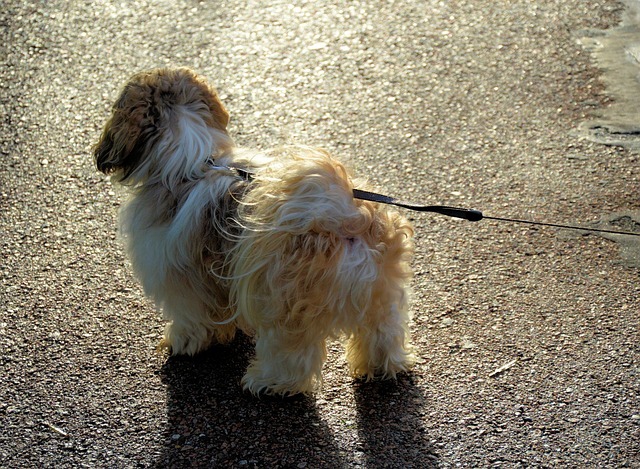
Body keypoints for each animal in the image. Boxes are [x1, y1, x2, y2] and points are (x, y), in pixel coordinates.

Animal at [94, 66, 416, 394]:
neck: (193, 161)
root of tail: (346, 220)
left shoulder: (179, 278)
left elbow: (192, 316)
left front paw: (183, 342)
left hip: (282, 305)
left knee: (293, 356)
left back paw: (268, 382)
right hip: (382, 294)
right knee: (383, 332)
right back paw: (381, 367)